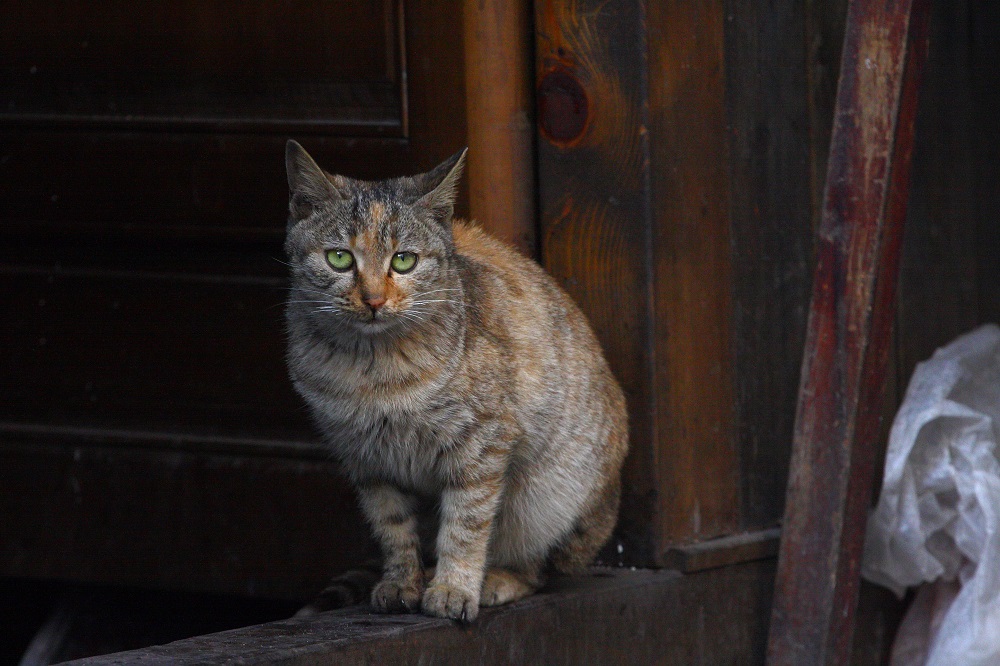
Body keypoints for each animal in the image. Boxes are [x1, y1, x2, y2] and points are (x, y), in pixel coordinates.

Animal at [284, 140, 624, 624]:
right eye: (339, 257)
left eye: (404, 260)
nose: (373, 300)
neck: (373, 368)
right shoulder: (366, 459)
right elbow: (393, 528)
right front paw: (401, 583)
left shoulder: (482, 444)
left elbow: (465, 525)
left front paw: (452, 588)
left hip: (546, 498)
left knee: (535, 567)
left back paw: (495, 580)